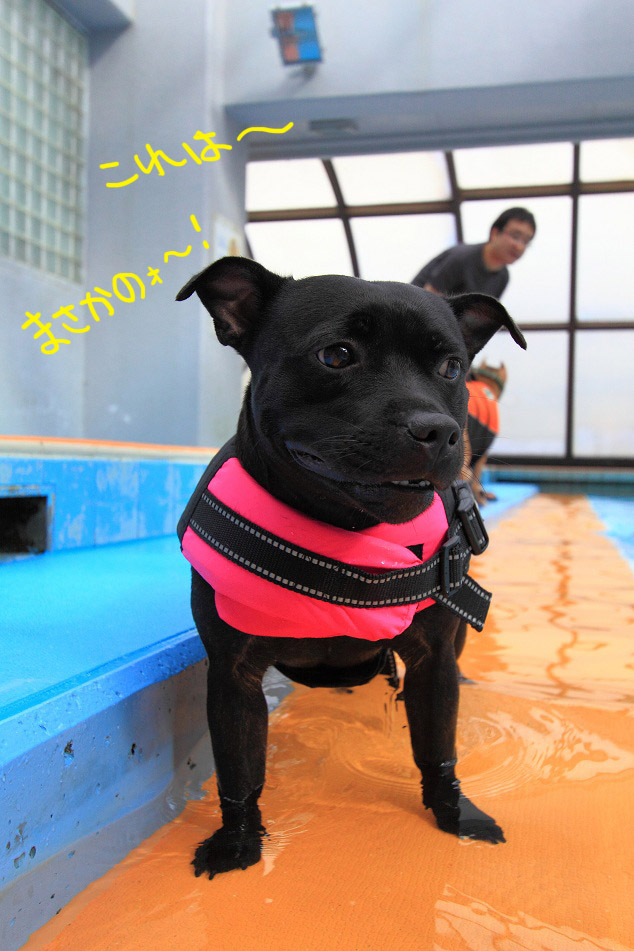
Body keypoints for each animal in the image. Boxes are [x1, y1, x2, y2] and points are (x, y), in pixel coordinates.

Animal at [176, 257, 526, 879]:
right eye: (336, 356)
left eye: (452, 367)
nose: (436, 428)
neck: (346, 531)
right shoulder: (234, 675)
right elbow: (239, 769)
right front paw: (236, 841)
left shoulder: (433, 659)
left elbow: (438, 747)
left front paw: (455, 812)